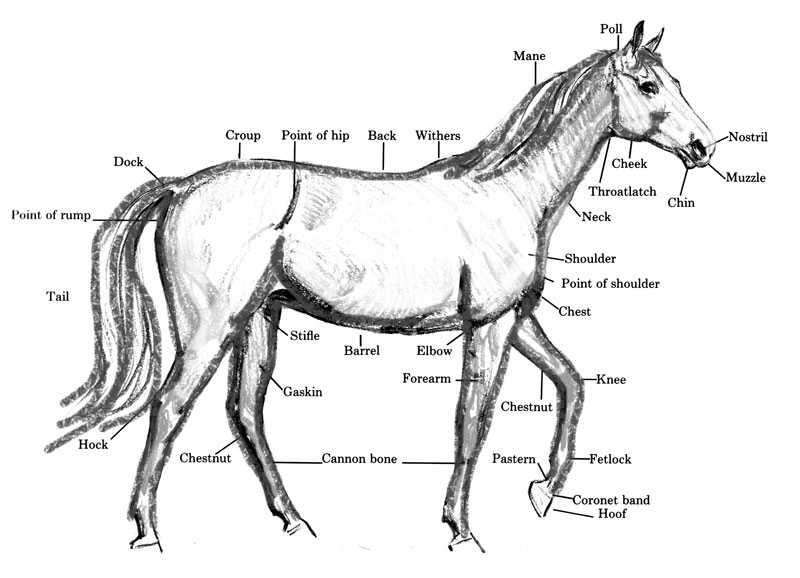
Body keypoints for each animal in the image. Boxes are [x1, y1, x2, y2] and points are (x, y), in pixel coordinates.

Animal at [46, 21, 714, 551]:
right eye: (650, 86)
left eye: (676, 82)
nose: (703, 146)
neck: (507, 192)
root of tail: (182, 186)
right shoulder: (489, 325)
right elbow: (473, 421)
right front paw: (461, 530)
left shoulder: (516, 319)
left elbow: (573, 383)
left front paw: (543, 491)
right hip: (213, 326)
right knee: (170, 405)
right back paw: (148, 531)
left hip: (259, 318)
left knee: (245, 411)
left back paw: (294, 521)